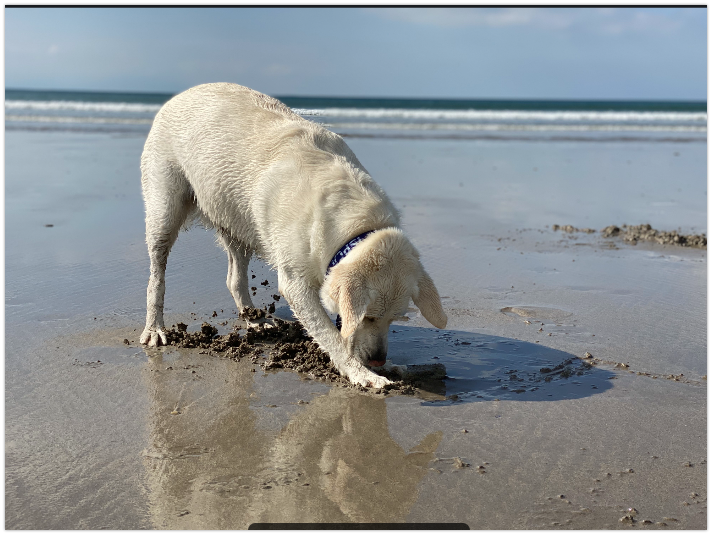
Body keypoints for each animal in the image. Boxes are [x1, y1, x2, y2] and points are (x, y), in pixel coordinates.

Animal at [139, 83, 447, 387]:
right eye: (368, 318)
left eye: (395, 319)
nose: (378, 361)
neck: (355, 223)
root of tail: (182, 93)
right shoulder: (295, 284)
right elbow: (331, 336)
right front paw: (361, 373)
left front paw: (384, 367)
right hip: (164, 210)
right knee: (157, 275)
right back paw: (154, 328)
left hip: (236, 219)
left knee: (235, 278)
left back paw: (254, 320)